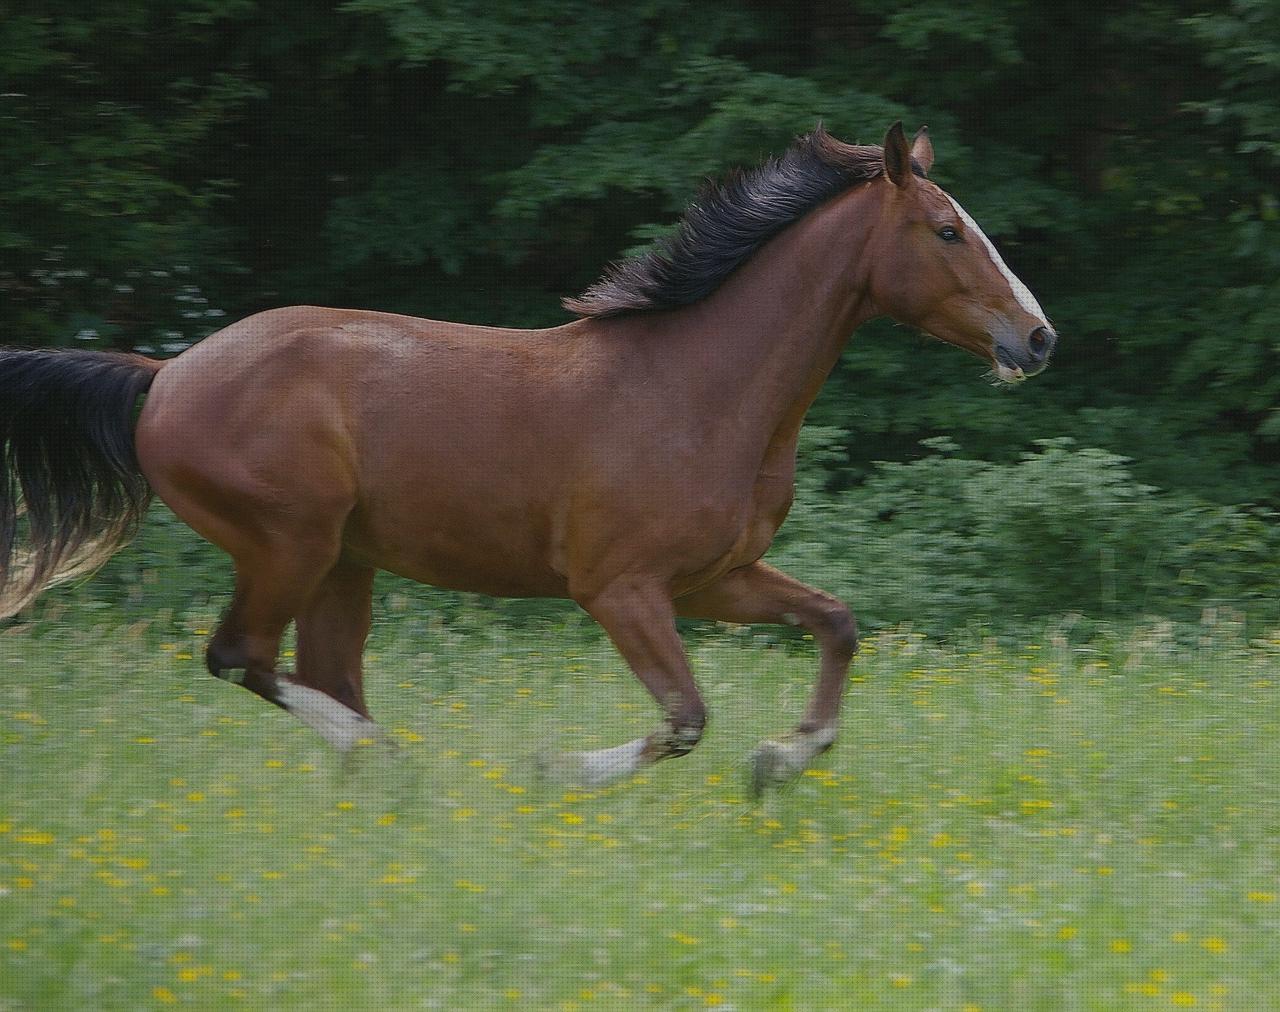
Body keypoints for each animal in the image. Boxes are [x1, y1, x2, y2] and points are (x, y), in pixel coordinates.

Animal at [0, 124, 1049, 793]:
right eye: (947, 229)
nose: (1037, 340)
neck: (700, 389)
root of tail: (166, 374)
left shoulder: (716, 578)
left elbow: (835, 624)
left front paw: (779, 762)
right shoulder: (619, 588)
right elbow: (685, 718)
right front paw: (554, 771)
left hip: (344, 562)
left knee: (315, 674)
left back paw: (377, 780)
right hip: (287, 544)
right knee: (240, 659)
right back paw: (392, 760)